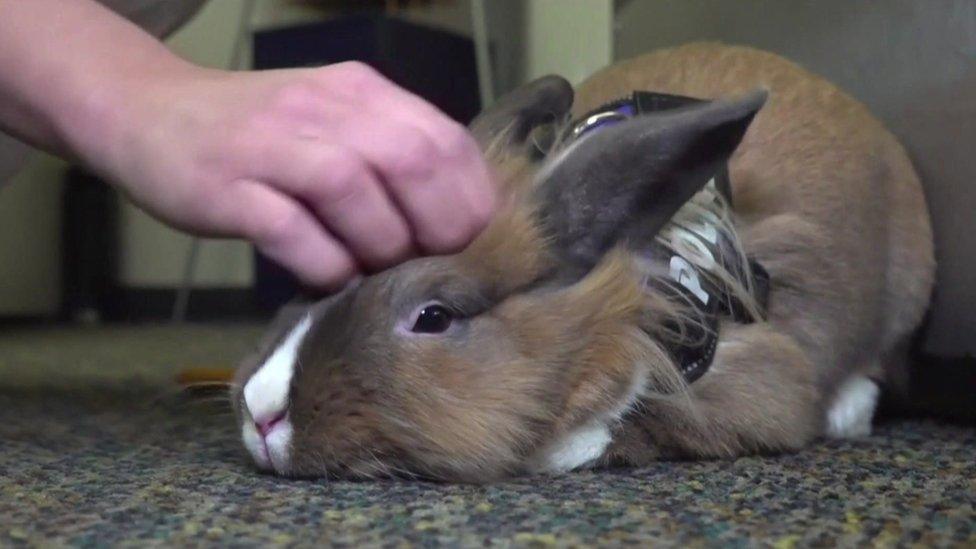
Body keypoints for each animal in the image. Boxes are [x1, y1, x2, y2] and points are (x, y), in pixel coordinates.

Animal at [231, 42, 936, 480]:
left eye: (433, 317)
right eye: (305, 286)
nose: (262, 414)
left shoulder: (756, 385)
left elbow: (637, 420)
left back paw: (848, 411)